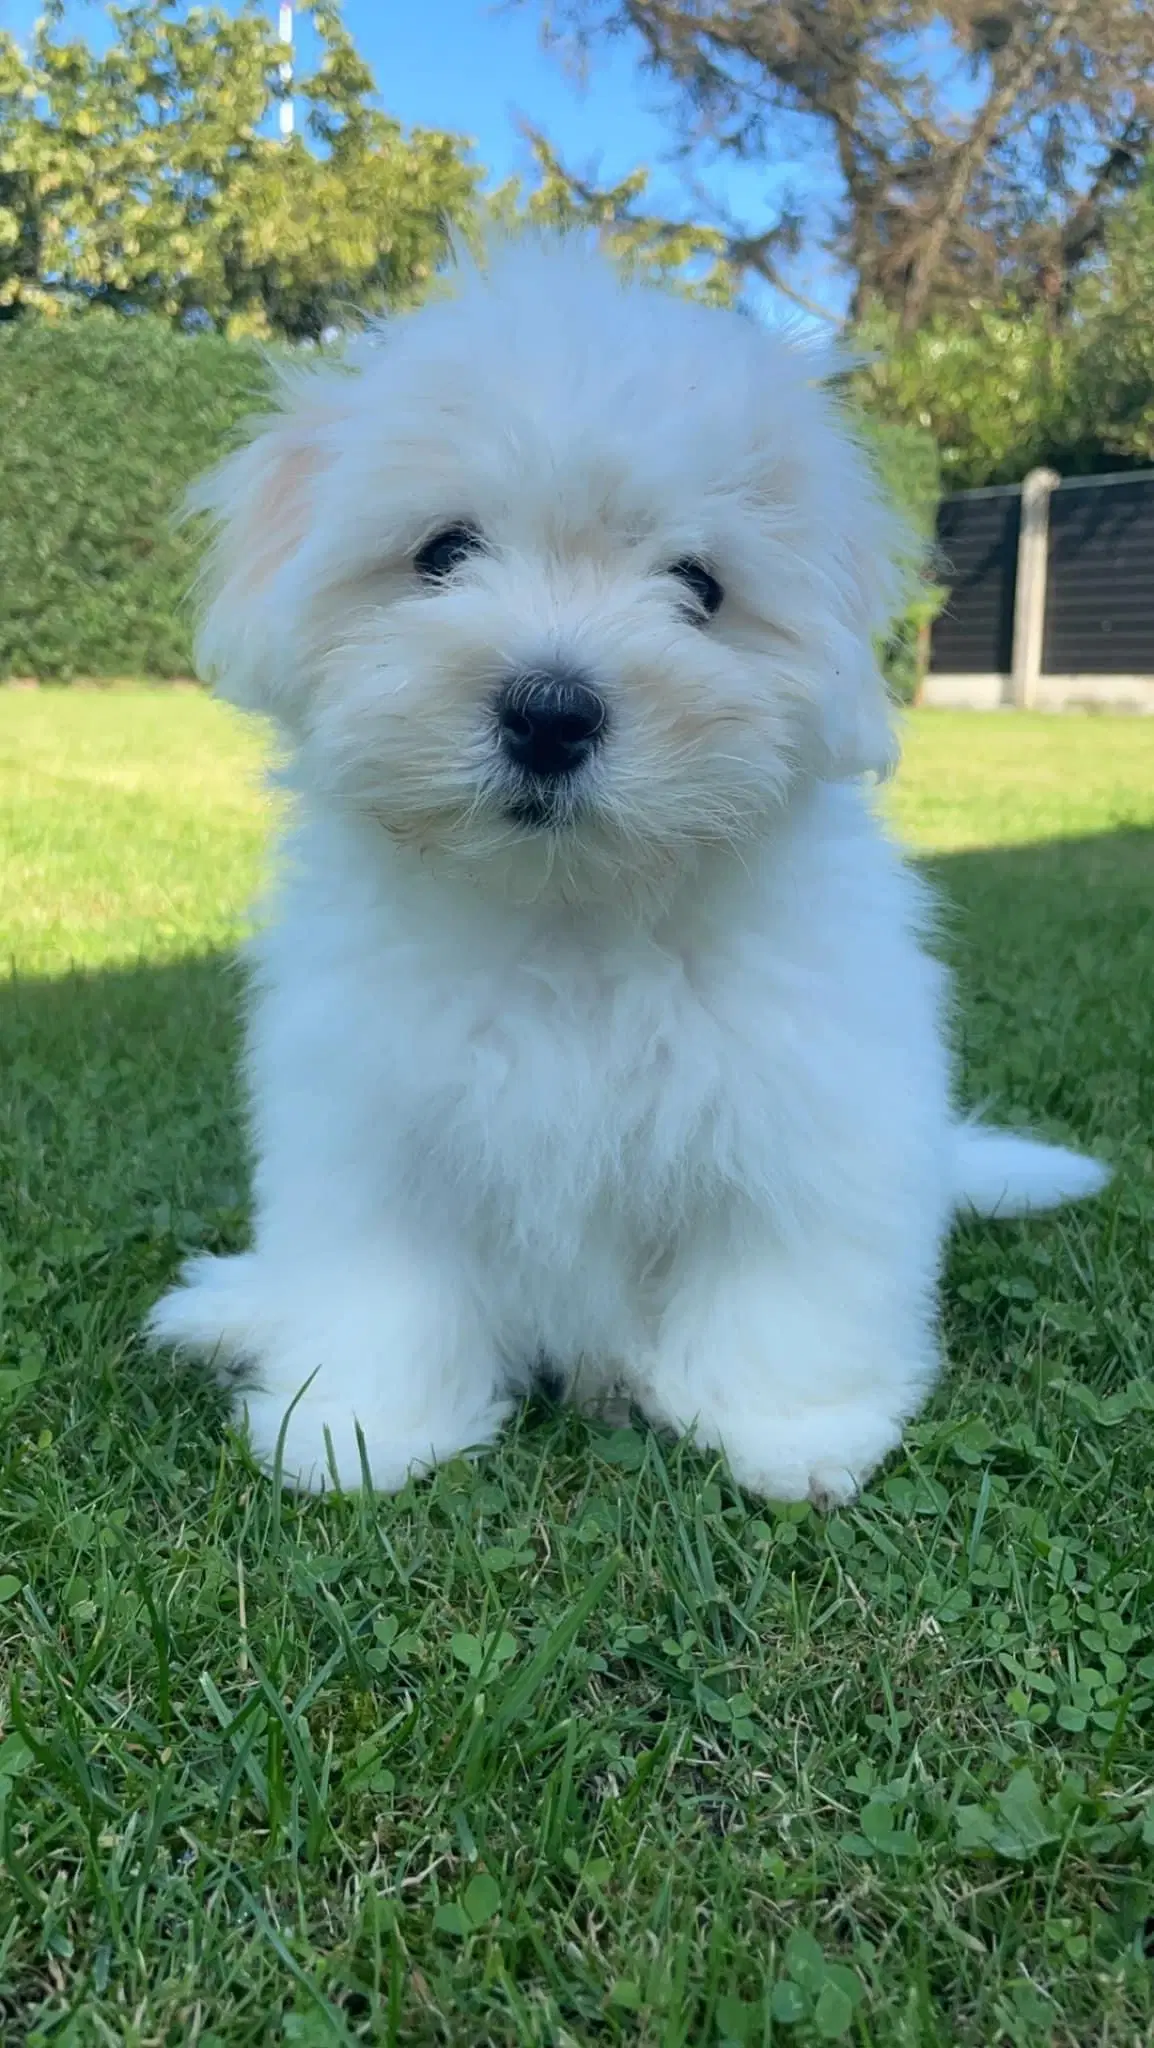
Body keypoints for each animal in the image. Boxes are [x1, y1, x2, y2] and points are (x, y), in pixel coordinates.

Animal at [146, 235, 1106, 1507]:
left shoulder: (802, 1108)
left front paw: (788, 1427)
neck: (571, 908)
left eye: (698, 586)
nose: (549, 711)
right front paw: (360, 1425)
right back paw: (235, 1305)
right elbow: (379, 1277)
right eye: (441, 553)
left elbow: (781, 1269)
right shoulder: (372, 1115)